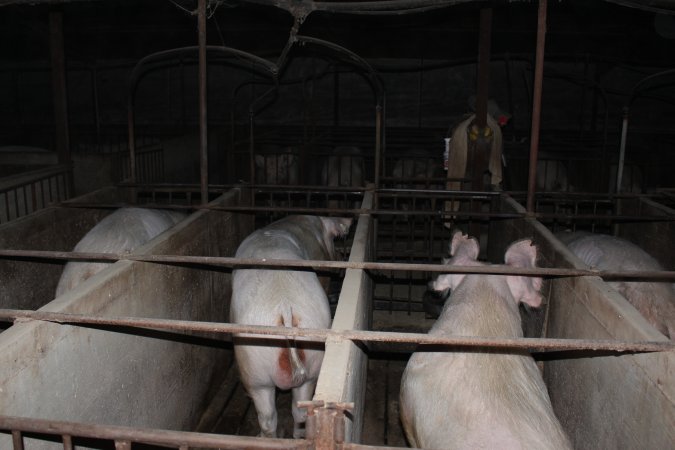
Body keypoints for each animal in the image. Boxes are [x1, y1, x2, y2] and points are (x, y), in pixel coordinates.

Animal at [231, 214, 352, 440]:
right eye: (335, 240)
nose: (341, 261)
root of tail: (285, 306)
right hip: (311, 358)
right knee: (299, 412)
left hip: (253, 367)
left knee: (268, 418)